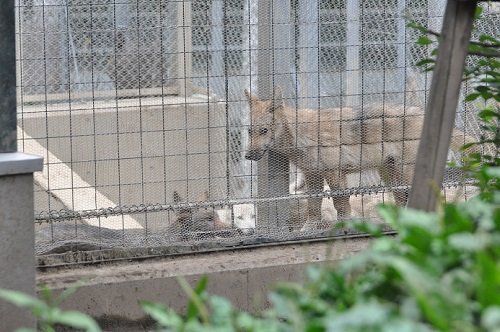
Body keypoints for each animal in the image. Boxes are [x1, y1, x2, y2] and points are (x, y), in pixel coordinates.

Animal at [244, 88, 474, 231]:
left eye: (264, 131)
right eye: (249, 132)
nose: (248, 155)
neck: (303, 135)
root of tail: (421, 112)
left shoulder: (334, 174)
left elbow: (341, 206)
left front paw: (343, 227)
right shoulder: (313, 176)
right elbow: (313, 207)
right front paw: (306, 230)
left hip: (405, 174)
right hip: (391, 177)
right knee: (402, 202)